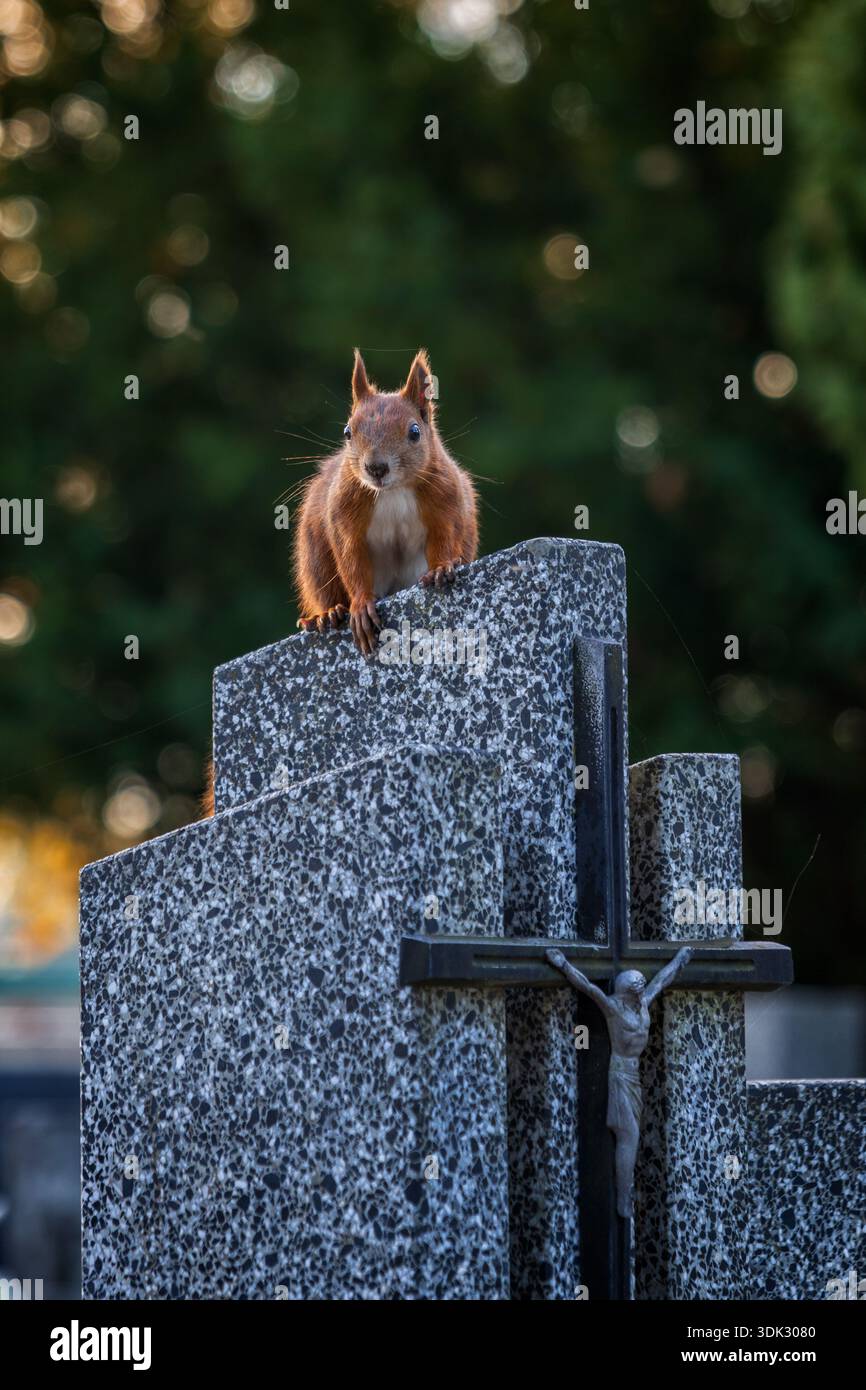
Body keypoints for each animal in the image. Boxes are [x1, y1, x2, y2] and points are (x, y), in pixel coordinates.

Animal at [200, 348, 478, 816]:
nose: (376, 468)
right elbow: (351, 561)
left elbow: (445, 538)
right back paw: (327, 614)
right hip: (313, 556)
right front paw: (361, 607)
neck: (391, 492)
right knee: (326, 586)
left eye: (415, 431)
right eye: (348, 432)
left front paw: (442, 569)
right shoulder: (343, 515)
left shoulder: (446, 500)